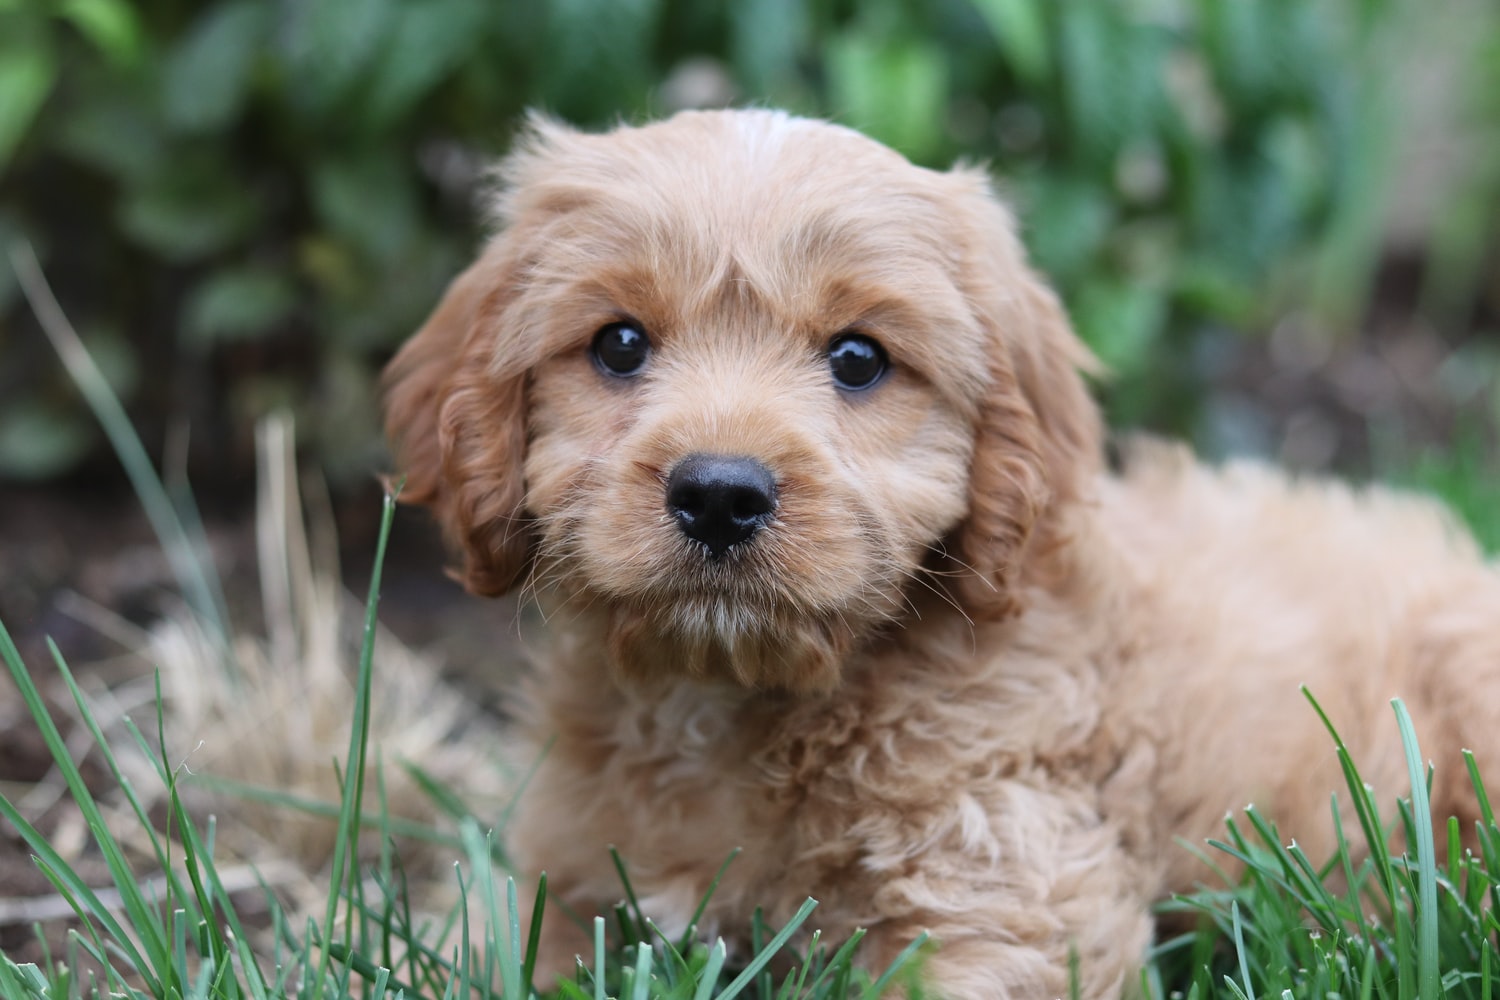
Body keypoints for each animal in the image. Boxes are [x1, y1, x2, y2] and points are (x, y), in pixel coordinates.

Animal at [384, 111, 1500, 1000]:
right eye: (618, 345)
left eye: (859, 359)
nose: (720, 494)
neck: (738, 700)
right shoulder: (552, 874)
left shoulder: (1005, 879)